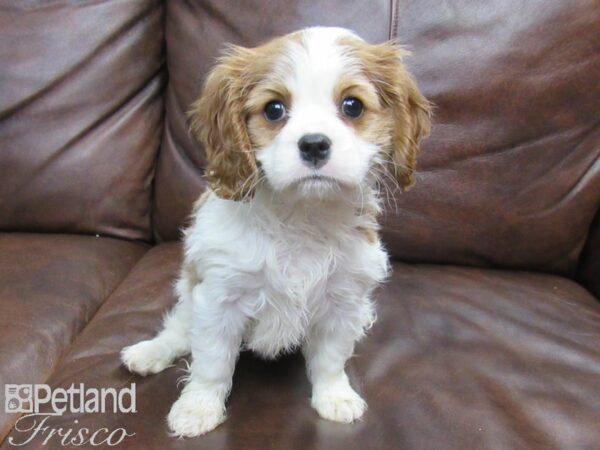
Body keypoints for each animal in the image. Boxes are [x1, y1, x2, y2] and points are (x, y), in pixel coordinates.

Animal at [123, 27, 432, 436]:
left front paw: (334, 396)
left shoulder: (342, 300)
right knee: (179, 329)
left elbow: (331, 357)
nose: (314, 143)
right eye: (274, 109)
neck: (301, 215)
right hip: (190, 293)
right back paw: (149, 352)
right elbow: (212, 361)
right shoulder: (218, 297)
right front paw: (198, 407)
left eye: (352, 106)